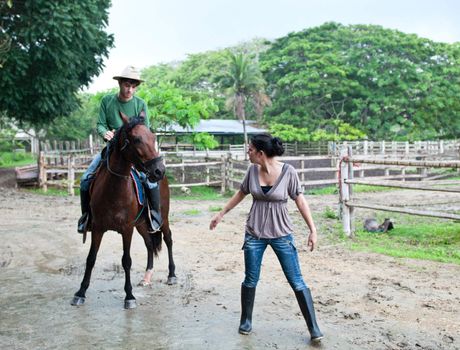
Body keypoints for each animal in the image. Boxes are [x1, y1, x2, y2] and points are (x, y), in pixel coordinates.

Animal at [71, 111, 176, 308]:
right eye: (136, 139)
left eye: (153, 138)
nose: (159, 170)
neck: (114, 190)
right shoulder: (98, 228)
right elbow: (90, 259)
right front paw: (80, 292)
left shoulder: (127, 229)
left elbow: (126, 261)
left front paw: (129, 296)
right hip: (141, 224)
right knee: (149, 244)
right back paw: (147, 276)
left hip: (163, 219)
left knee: (168, 239)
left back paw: (172, 274)